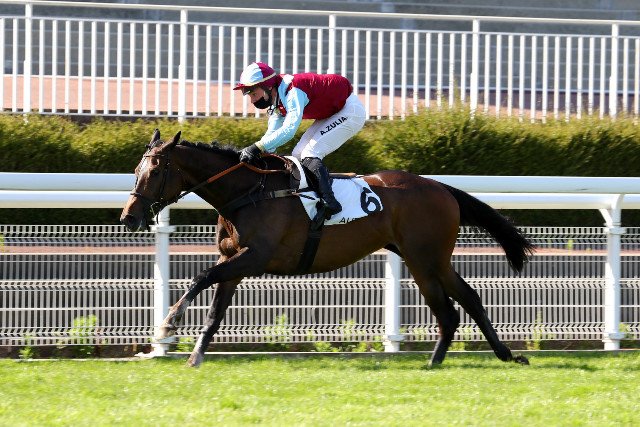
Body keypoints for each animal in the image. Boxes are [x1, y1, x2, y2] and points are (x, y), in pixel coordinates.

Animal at [120, 129, 534, 368]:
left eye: (154, 172)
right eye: (135, 171)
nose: (128, 217)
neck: (249, 192)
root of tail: (441, 187)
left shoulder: (254, 257)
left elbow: (200, 277)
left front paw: (169, 322)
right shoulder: (232, 259)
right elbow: (214, 311)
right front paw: (195, 356)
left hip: (423, 258)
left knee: (448, 311)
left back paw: (434, 362)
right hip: (431, 258)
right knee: (470, 298)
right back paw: (504, 354)